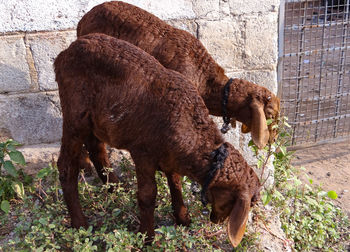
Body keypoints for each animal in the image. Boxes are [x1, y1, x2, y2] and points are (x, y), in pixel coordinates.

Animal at [54, 32, 260, 247]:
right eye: (239, 202)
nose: (216, 220)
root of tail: (65, 52)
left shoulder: (170, 156)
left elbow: (175, 183)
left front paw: (183, 219)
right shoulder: (143, 152)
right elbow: (148, 195)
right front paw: (147, 237)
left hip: (96, 121)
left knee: (96, 149)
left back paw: (116, 187)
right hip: (75, 114)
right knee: (66, 166)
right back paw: (80, 224)